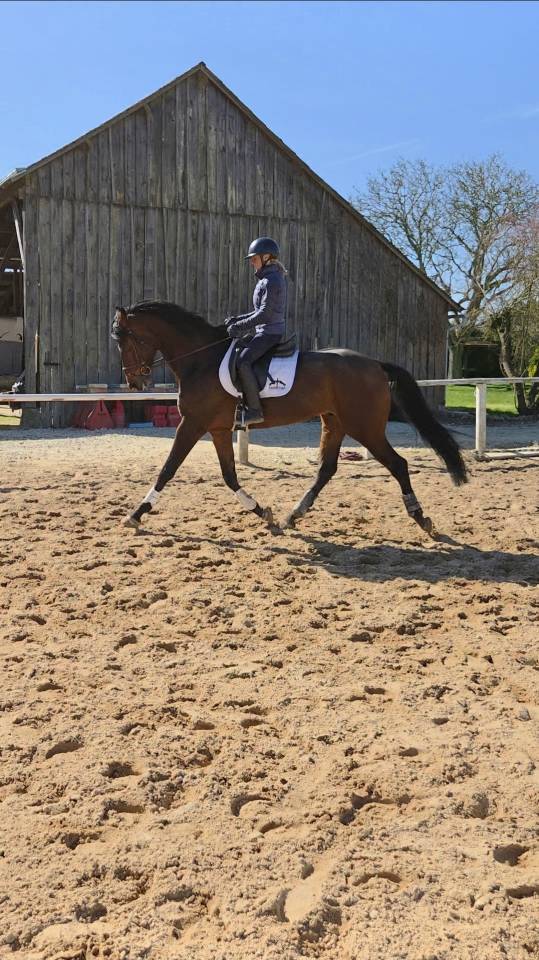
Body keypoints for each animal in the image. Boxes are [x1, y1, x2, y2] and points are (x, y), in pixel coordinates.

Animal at [111, 300, 468, 535]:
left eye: (124, 340)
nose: (134, 382)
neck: (202, 359)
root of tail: (375, 364)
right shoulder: (219, 429)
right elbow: (229, 476)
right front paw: (262, 512)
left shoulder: (193, 425)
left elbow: (167, 470)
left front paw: (136, 514)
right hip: (334, 423)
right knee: (326, 470)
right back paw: (293, 515)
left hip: (365, 428)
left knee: (398, 464)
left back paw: (421, 517)